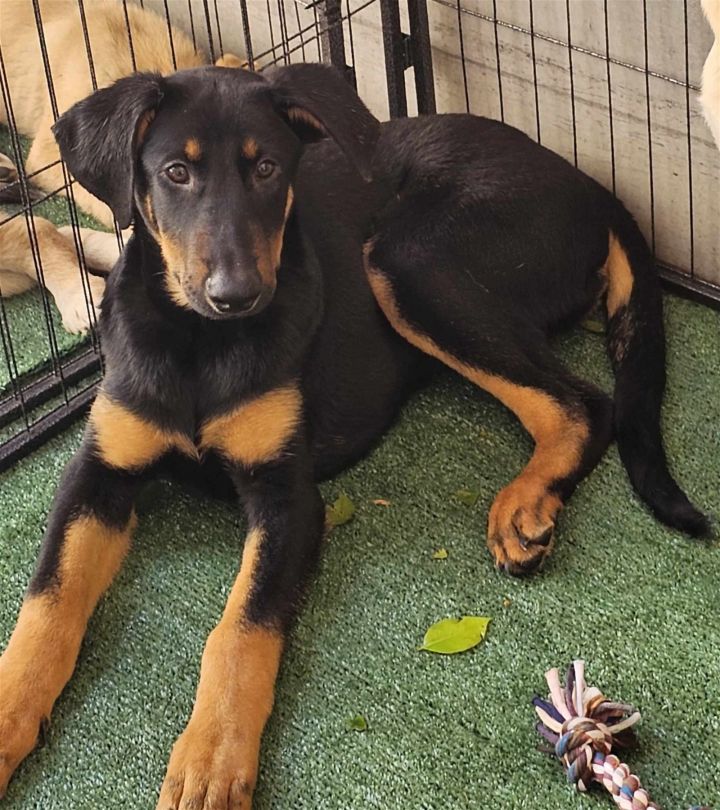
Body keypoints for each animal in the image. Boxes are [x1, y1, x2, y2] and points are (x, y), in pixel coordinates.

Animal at [0, 64, 708, 808]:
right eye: (175, 172)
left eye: (267, 168)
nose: (237, 295)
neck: (198, 342)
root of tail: (592, 185)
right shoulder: (97, 473)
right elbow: (46, 603)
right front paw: (9, 721)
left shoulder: (287, 497)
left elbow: (240, 627)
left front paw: (212, 754)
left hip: (408, 259)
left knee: (583, 403)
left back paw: (524, 503)